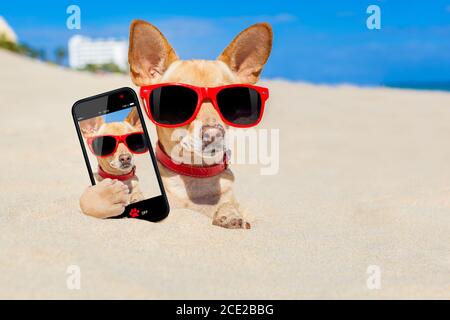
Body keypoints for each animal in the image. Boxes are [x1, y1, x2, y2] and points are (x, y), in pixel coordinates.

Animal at [79, 20, 272, 228]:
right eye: (174, 102)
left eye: (233, 101)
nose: (213, 134)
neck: (195, 173)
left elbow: (229, 204)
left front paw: (229, 214)